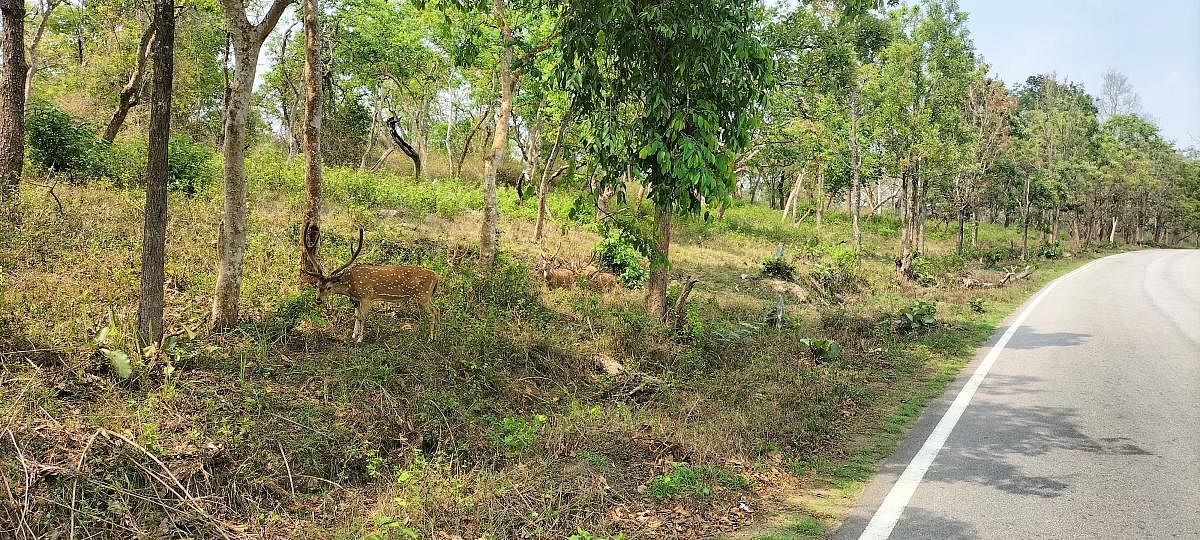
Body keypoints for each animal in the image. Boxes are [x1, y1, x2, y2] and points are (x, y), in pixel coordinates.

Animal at [304, 228, 441, 340]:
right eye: (317, 285)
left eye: (329, 287)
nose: (318, 300)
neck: (352, 286)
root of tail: (436, 277)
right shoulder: (357, 299)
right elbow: (356, 315)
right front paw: (353, 335)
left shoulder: (366, 296)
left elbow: (363, 317)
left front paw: (360, 339)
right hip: (427, 297)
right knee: (438, 309)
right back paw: (437, 335)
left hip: (422, 296)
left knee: (434, 312)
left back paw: (431, 337)